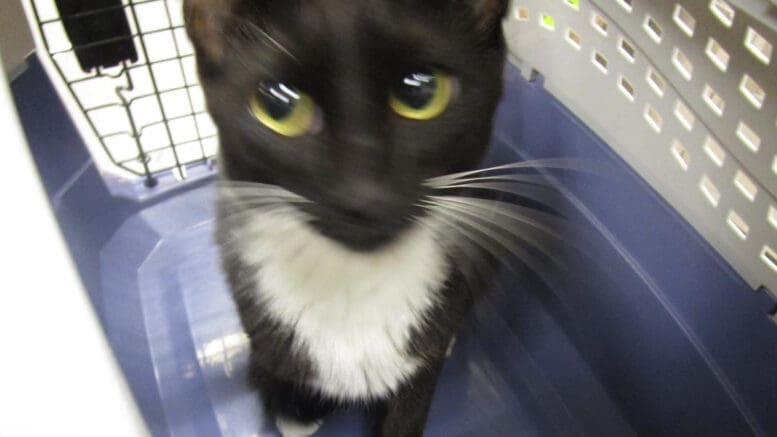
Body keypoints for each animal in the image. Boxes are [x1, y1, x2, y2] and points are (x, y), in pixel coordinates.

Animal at [182, 1, 510, 434]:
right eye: (278, 106)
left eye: (421, 92)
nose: (362, 195)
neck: (356, 282)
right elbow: (279, 367)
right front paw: (293, 409)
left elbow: (411, 406)